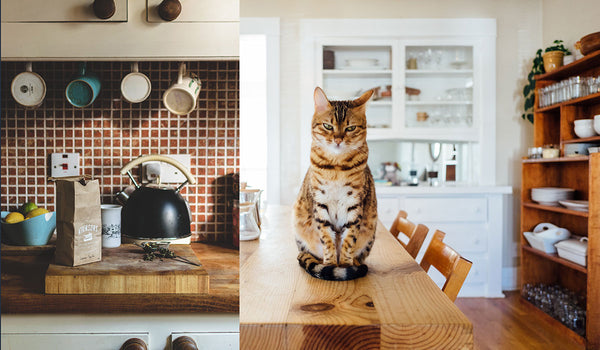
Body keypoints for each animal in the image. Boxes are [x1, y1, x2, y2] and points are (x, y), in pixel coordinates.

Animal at [292, 87, 378, 282]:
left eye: (350, 128)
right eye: (328, 126)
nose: (338, 139)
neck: (337, 167)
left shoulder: (355, 204)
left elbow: (349, 240)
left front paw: (345, 265)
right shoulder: (320, 203)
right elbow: (327, 239)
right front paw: (330, 265)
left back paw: (355, 264)